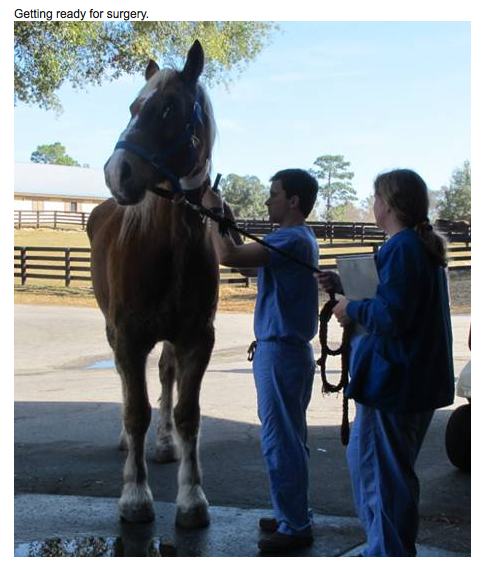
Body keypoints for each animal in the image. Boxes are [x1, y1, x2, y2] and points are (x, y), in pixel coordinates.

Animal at [87, 42, 218, 532]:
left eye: (169, 108)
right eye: (132, 107)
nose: (117, 172)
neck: (169, 243)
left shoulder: (196, 338)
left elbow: (187, 413)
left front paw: (192, 498)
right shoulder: (128, 337)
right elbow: (134, 408)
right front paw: (135, 497)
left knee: (165, 375)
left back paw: (163, 444)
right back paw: (131, 442)